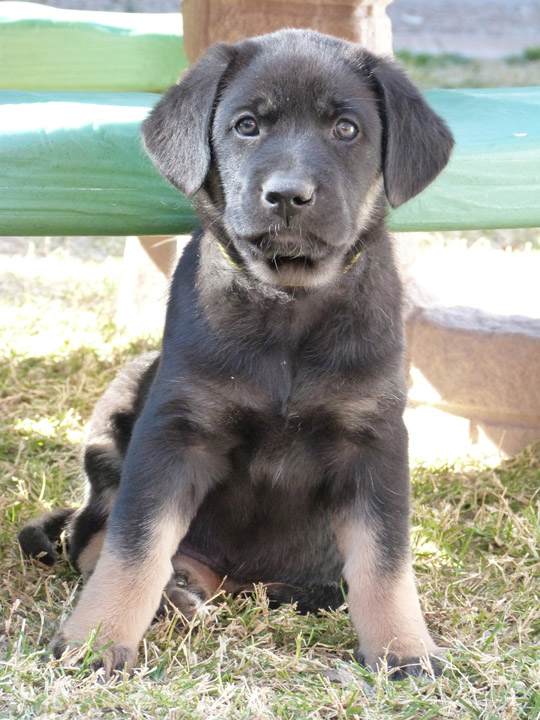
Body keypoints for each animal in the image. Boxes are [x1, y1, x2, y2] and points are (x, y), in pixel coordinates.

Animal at [20, 29, 452, 680]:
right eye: (246, 126)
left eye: (345, 129)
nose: (288, 196)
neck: (287, 303)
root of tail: (239, 583)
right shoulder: (176, 432)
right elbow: (134, 545)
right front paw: (97, 640)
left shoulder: (374, 440)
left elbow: (384, 560)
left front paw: (403, 650)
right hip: (119, 412)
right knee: (91, 537)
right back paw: (172, 597)